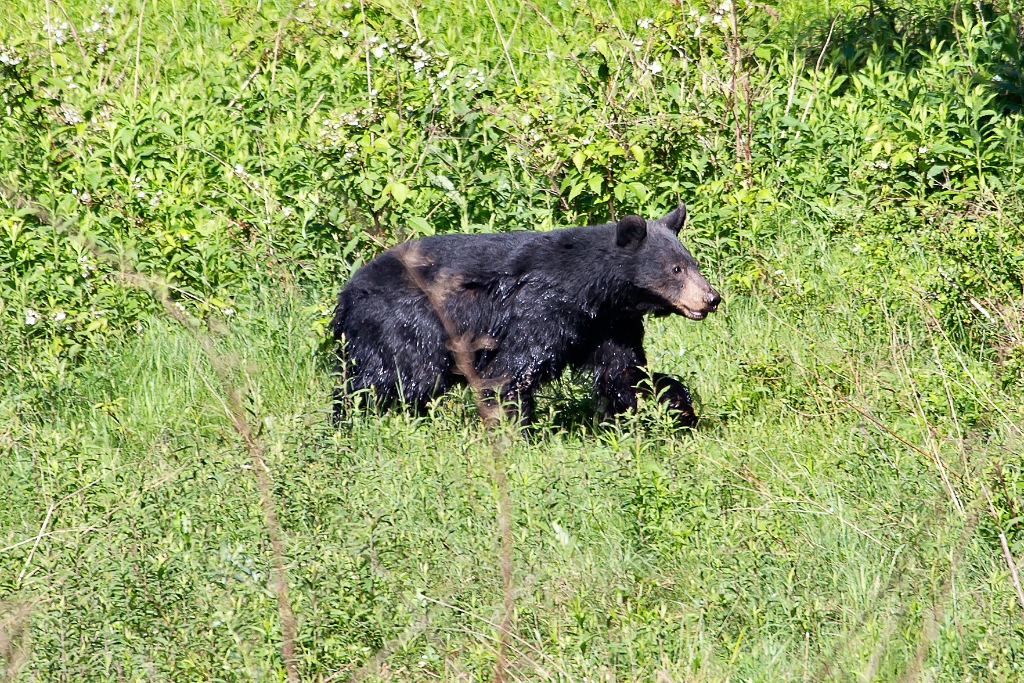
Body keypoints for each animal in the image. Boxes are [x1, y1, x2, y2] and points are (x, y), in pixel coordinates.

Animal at [329, 202, 720, 428]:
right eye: (676, 270)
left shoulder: (607, 324)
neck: (593, 291)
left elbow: (625, 373)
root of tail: (347, 293)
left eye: (693, 263)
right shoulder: (540, 310)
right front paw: (513, 431)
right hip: (403, 325)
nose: (711, 298)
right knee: (396, 377)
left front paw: (679, 408)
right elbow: (512, 370)